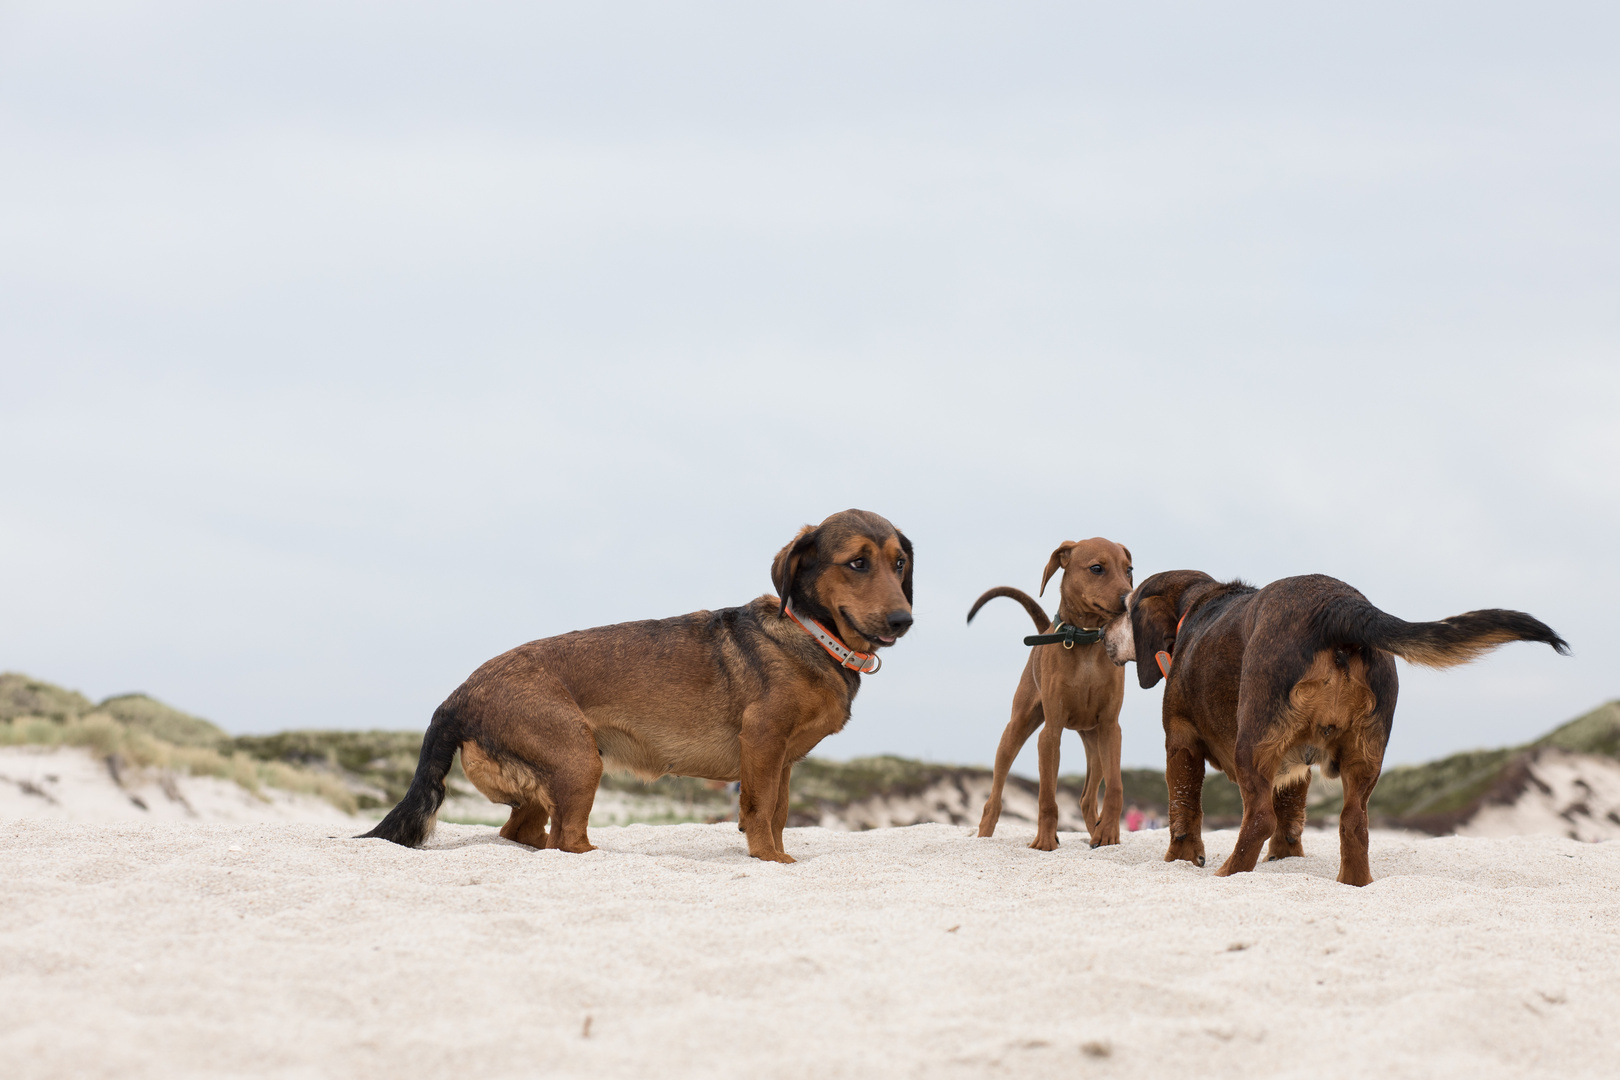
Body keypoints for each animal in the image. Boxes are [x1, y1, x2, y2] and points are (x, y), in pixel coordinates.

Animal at [362, 508, 913, 861]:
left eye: (900, 563)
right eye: (857, 562)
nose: (904, 620)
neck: (811, 633)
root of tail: (460, 694)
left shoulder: (783, 761)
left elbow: (778, 816)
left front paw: (778, 854)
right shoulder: (762, 743)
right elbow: (759, 814)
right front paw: (771, 862)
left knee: (521, 832)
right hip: (580, 760)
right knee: (565, 838)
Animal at [965, 540, 1134, 854]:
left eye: (1129, 569)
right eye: (1097, 568)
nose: (1129, 600)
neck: (1084, 642)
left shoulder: (1110, 728)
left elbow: (1116, 788)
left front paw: (1108, 834)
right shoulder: (1051, 732)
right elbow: (1046, 797)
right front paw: (1044, 840)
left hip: (1095, 743)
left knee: (1087, 798)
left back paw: (1096, 832)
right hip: (1016, 729)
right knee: (994, 796)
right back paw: (984, 835)